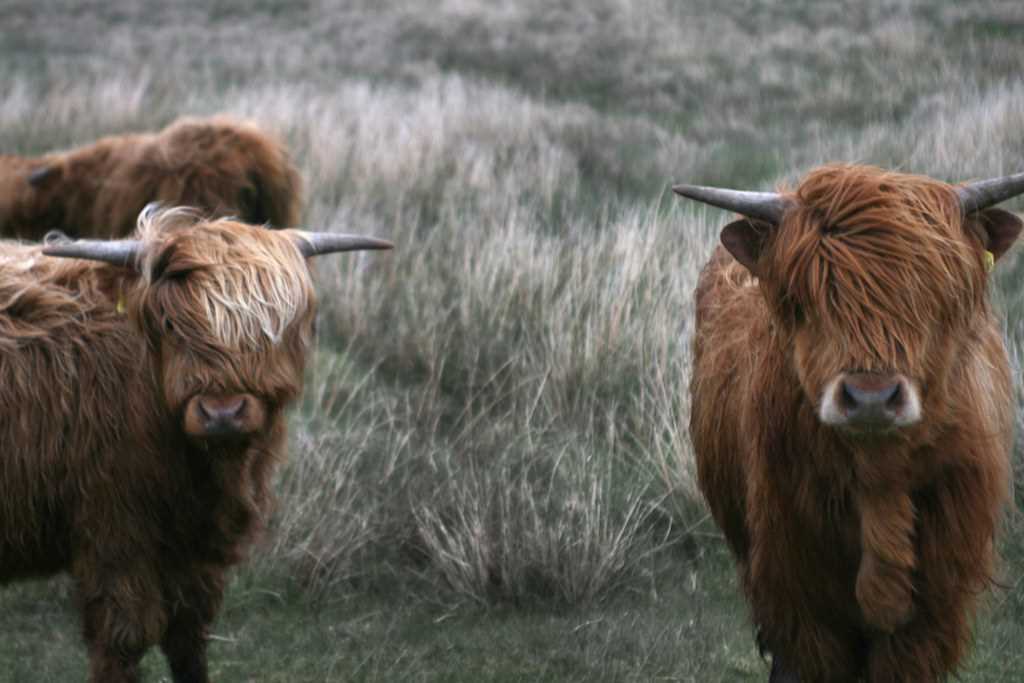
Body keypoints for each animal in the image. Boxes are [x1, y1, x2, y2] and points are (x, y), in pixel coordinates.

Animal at [0, 206, 391, 683]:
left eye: (274, 328)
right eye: (171, 324)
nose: (222, 413)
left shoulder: (193, 544)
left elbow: (188, 636)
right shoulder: (114, 529)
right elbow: (122, 639)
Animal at [675, 164, 1024, 682]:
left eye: (935, 295)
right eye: (802, 299)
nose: (871, 399)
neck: (879, 481)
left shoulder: (934, 607)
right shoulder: (798, 589)